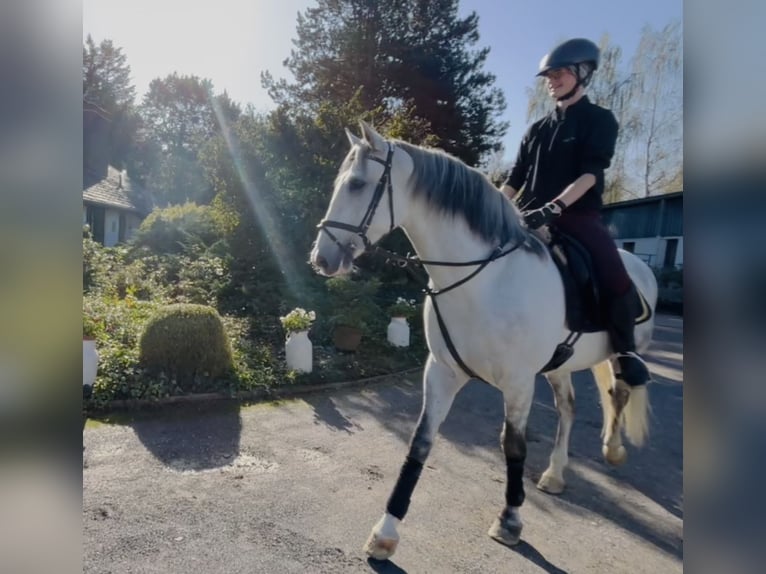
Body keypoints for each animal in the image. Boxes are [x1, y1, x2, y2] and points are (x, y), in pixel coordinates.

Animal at [308, 119, 656, 560]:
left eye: (356, 184)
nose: (322, 259)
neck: (484, 279)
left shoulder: (519, 383)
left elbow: (514, 447)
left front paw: (510, 521)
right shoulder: (442, 372)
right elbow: (420, 442)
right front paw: (386, 530)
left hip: (624, 350)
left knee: (621, 390)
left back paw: (612, 450)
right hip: (558, 366)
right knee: (569, 407)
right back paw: (555, 474)